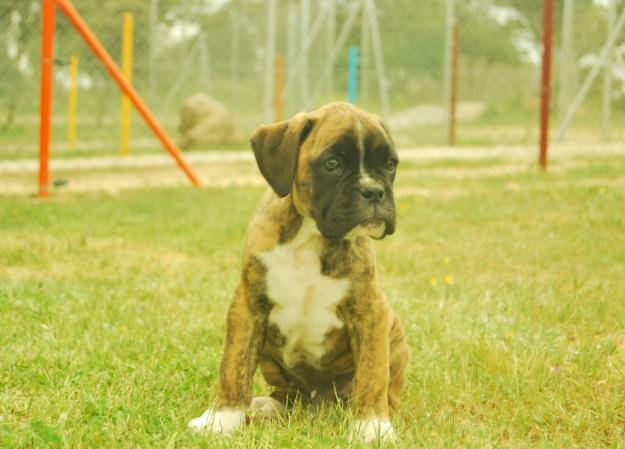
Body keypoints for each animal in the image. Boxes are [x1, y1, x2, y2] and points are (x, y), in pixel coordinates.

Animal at [189, 100, 410, 440]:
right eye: (332, 164)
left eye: (389, 164)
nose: (374, 191)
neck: (310, 237)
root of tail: (319, 400)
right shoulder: (248, 305)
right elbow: (233, 366)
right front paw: (222, 420)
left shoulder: (370, 311)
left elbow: (372, 373)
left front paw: (372, 428)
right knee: (286, 394)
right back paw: (266, 404)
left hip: (394, 332)